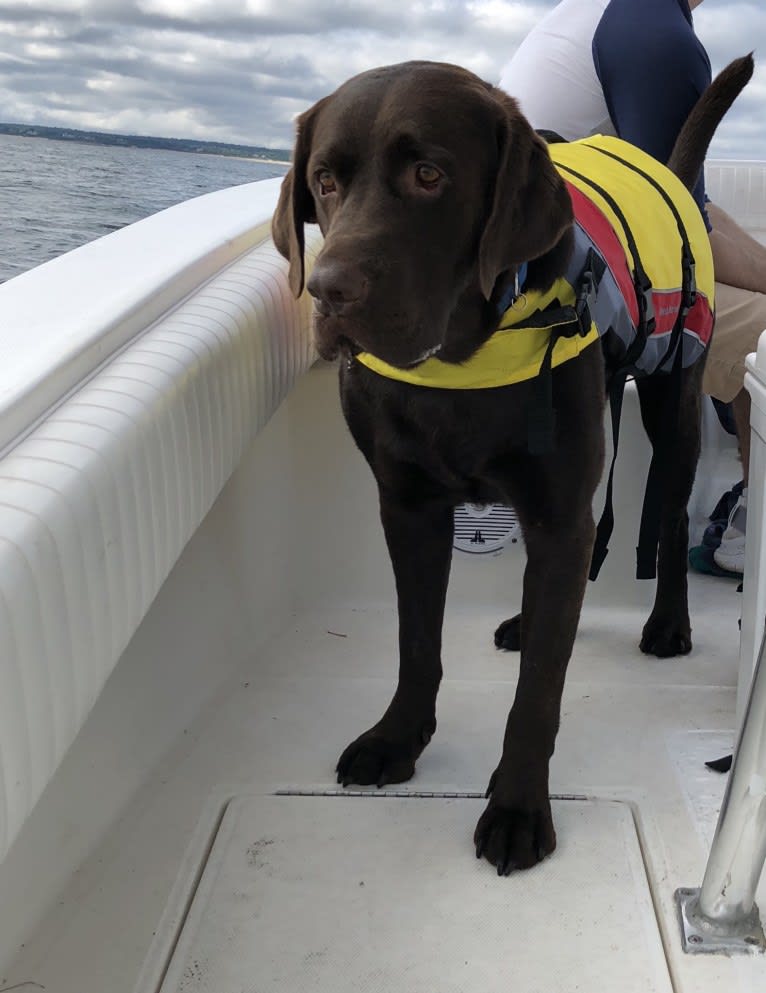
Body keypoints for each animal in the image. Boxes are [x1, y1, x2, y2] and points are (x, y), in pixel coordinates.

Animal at [272, 56, 752, 876]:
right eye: (325, 181)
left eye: (430, 174)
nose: (331, 290)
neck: (461, 360)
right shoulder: (409, 508)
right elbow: (416, 643)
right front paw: (397, 739)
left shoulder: (558, 509)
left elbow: (538, 696)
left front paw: (519, 807)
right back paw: (531, 622)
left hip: (674, 398)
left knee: (669, 517)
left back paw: (667, 624)